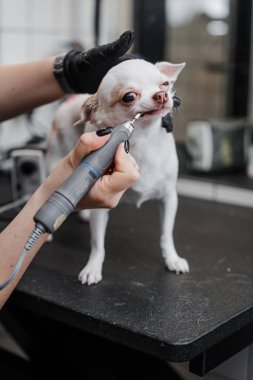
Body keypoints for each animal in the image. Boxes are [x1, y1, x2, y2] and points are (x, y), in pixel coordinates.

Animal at [66, 58, 189, 284]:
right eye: (129, 97)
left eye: (165, 84)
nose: (162, 95)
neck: (143, 139)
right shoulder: (101, 207)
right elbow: (97, 243)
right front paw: (92, 267)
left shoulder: (169, 198)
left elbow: (166, 234)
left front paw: (172, 259)